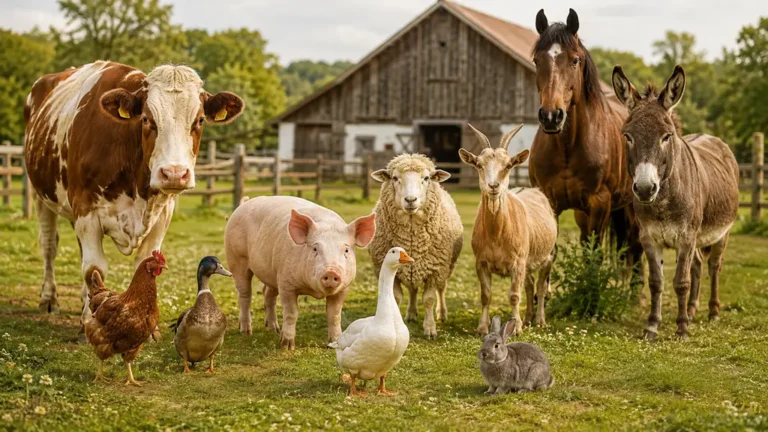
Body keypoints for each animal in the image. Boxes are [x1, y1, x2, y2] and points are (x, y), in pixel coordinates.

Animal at [23, 61, 244, 341]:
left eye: (200, 119)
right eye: (147, 119)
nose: (174, 173)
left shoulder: (163, 214)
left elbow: (142, 262)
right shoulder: (85, 208)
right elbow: (94, 268)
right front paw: (87, 323)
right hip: (41, 195)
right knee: (50, 246)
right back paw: (49, 298)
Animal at [369, 154, 464, 339]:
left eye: (426, 178)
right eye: (395, 178)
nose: (411, 200)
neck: (412, 241)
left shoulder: (435, 269)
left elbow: (429, 299)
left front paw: (430, 328)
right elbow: (396, 297)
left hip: (448, 266)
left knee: (442, 289)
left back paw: (442, 314)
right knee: (412, 290)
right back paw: (412, 314)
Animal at [459, 124, 558, 336]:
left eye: (508, 165)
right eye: (479, 164)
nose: (493, 186)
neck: (497, 235)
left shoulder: (518, 263)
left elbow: (514, 295)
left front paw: (516, 327)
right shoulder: (481, 262)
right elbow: (486, 295)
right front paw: (482, 327)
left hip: (547, 257)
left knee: (540, 288)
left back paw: (539, 320)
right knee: (529, 286)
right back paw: (528, 318)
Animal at [527, 8, 643, 283]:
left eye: (575, 60)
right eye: (537, 60)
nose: (551, 116)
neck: (568, 148)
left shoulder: (599, 203)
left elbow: (596, 255)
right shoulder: (551, 201)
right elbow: (551, 255)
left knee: (635, 247)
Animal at [612, 65, 739, 339]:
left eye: (666, 137)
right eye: (627, 137)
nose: (645, 188)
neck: (662, 203)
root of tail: (711, 136)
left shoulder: (686, 237)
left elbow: (681, 282)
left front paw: (681, 329)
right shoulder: (649, 238)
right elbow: (656, 282)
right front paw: (652, 326)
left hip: (721, 233)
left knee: (714, 265)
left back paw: (712, 311)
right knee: (698, 265)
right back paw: (691, 310)